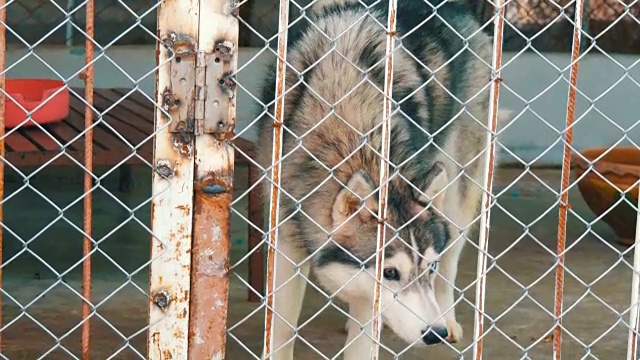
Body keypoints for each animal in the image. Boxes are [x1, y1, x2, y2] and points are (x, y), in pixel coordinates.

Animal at [255, 0, 504, 358]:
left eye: (427, 268)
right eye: (390, 273)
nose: (435, 333)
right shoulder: (287, 242)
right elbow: (281, 329)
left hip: (459, 197)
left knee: (451, 262)